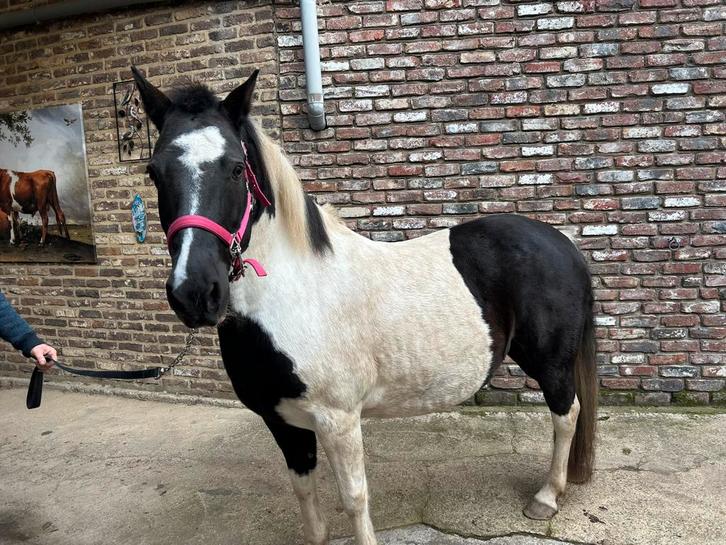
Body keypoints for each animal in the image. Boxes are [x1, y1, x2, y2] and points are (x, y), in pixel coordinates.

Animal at [132, 67, 597, 545]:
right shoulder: (282, 422)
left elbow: (355, 499)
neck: (296, 296)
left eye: (236, 168)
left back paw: (546, 498)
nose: (194, 292)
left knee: (567, 413)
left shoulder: (338, 419)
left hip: (551, 363)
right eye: (153, 172)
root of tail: (562, 242)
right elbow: (306, 497)